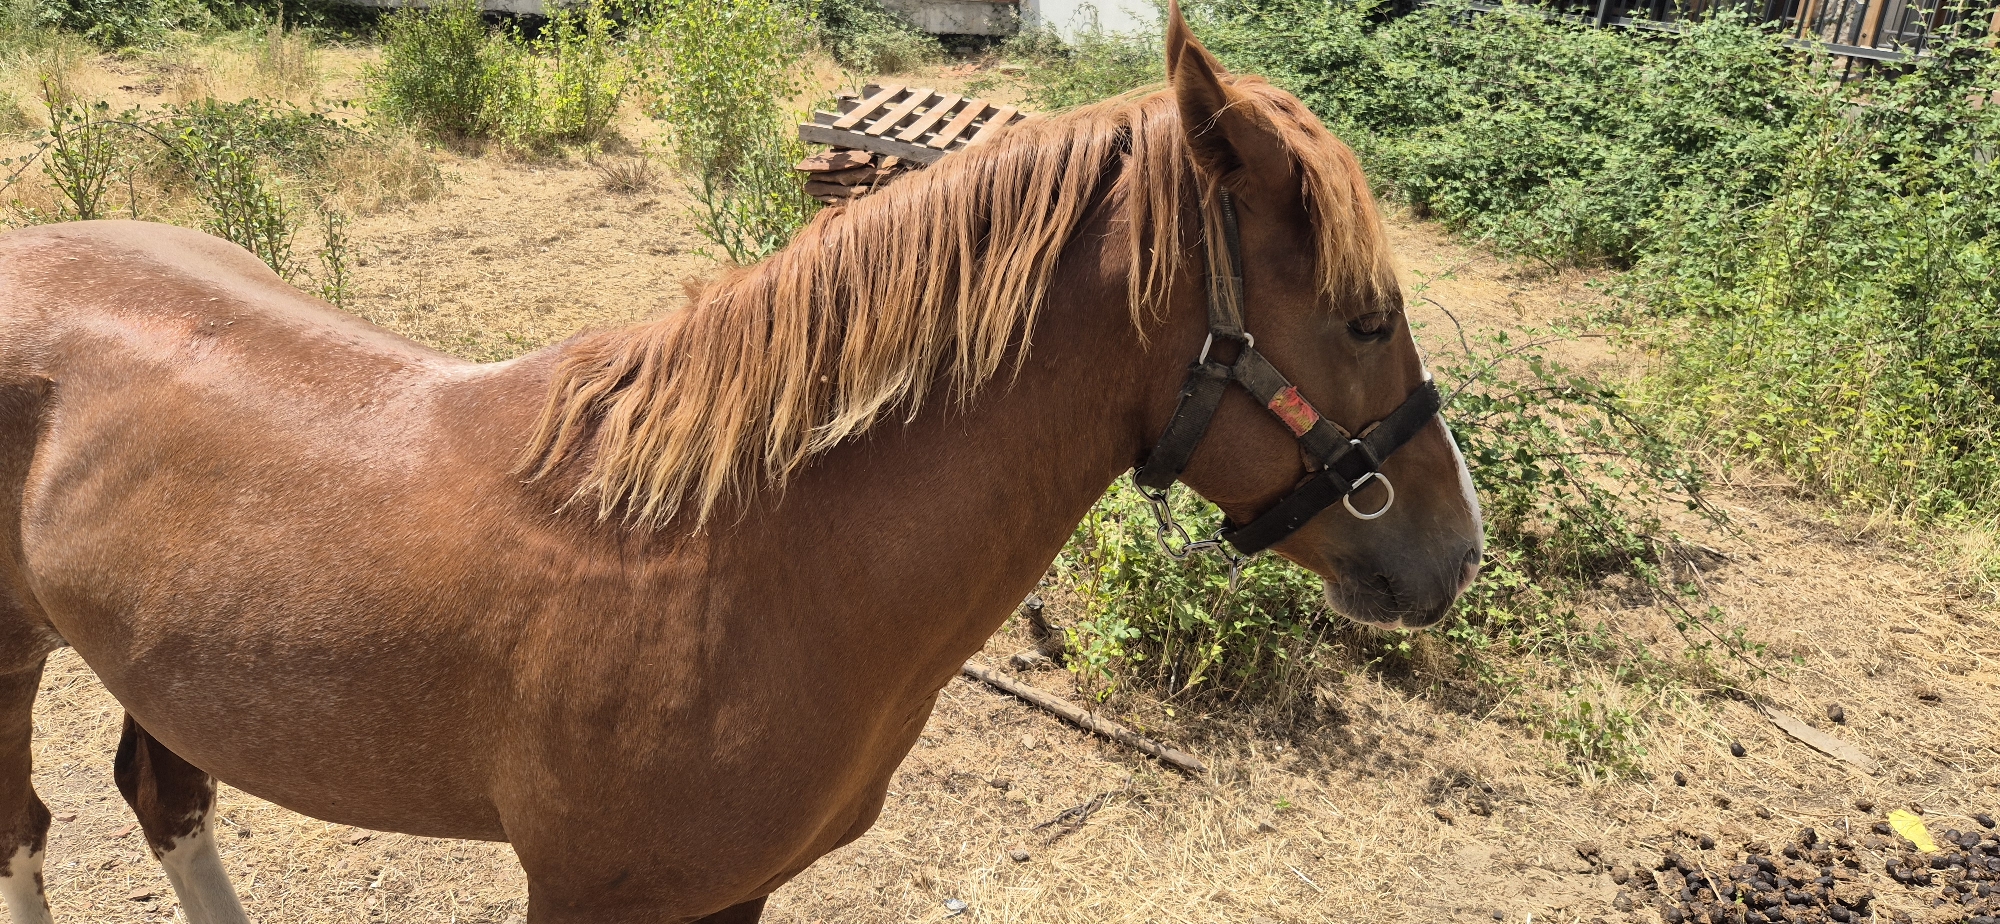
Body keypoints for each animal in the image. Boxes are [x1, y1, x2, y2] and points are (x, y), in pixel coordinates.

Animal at [0, 9, 1481, 923]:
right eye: (1365, 318)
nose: (1453, 551)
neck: (735, 553)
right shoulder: (589, 896)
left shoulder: (736, 890)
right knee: (27, 827)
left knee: (166, 798)